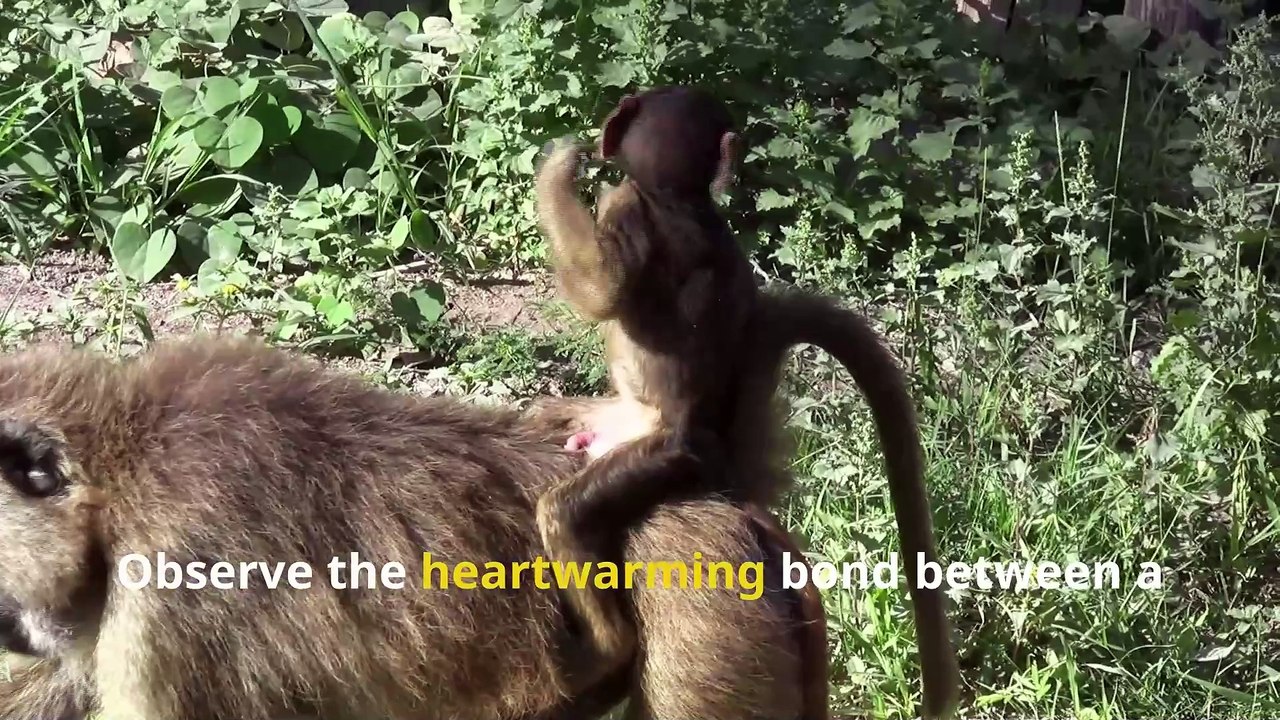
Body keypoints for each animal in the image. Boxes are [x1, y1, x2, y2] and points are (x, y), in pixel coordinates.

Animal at [529, 85, 961, 720]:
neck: (682, 199)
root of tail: (719, 462)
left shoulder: (628, 206)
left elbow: (600, 288)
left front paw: (560, 167)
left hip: (665, 458)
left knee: (565, 513)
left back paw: (605, 646)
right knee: (546, 419)